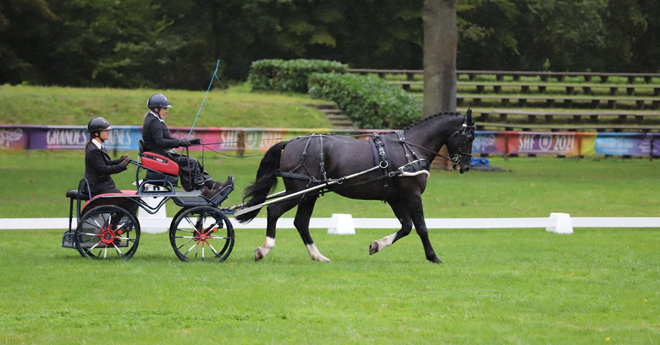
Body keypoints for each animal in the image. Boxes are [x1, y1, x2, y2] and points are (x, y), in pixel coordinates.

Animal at [236, 110, 474, 264]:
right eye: (470, 136)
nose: (465, 167)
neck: (410, 149)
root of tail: (292, 142)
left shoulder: (395, 197)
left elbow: (406, 226)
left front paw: (376, 245)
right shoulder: (412, 195)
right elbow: (421, 227)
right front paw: (433, 257)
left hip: (310, 193)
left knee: (301, 223)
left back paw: (317, 256)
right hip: (298, 192)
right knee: (274, 211)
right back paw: (264, 249)